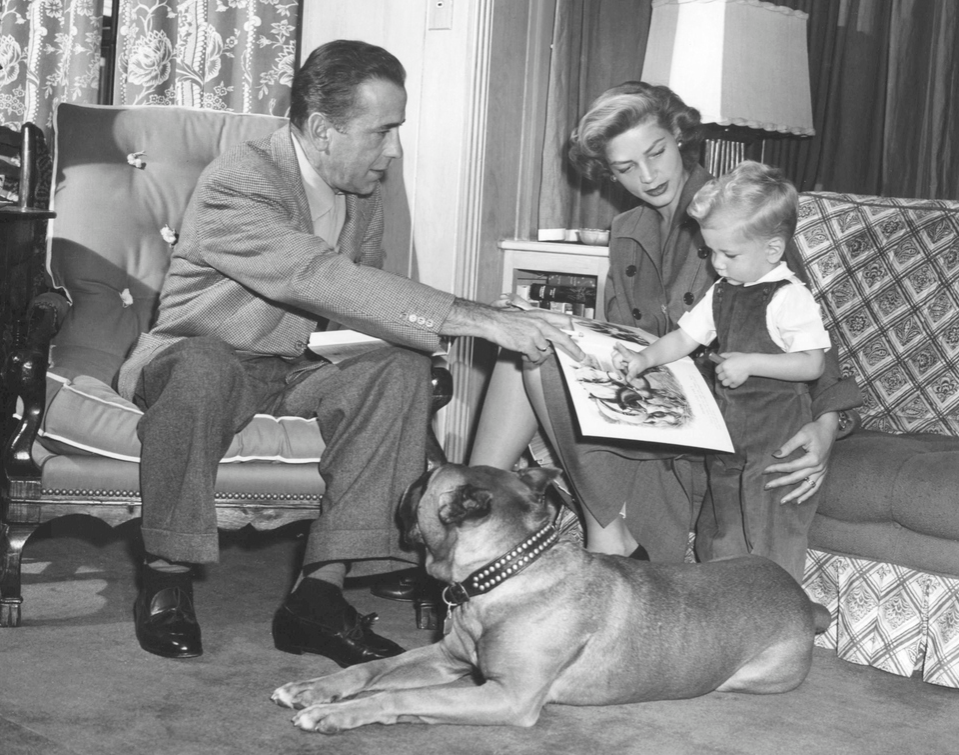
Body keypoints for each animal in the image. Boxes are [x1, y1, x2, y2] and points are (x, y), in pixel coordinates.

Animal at [272, 464, 832, 736]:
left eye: (427, 480)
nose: (412, 481)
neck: (507, 573)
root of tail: (802, 598)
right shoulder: (443, 657)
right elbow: (367, 671)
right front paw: (312, 690)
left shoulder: (506, 697)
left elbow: (399, 698)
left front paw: (333, 715)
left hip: (753, 676)